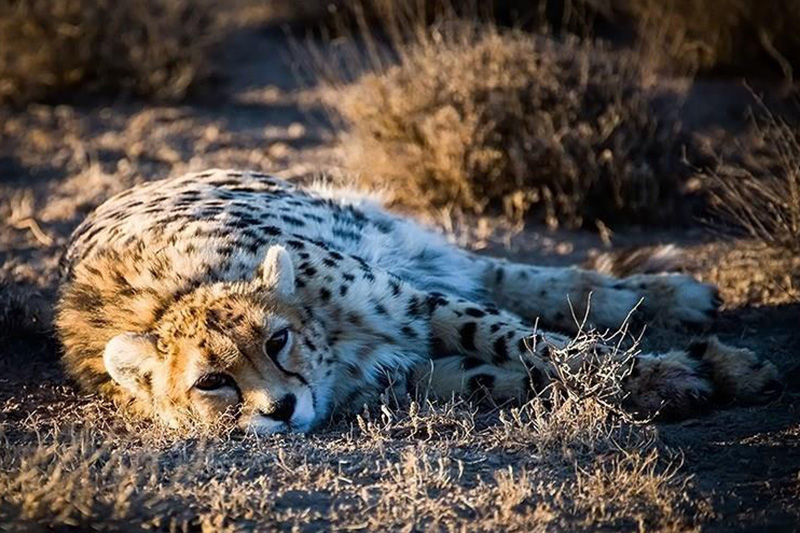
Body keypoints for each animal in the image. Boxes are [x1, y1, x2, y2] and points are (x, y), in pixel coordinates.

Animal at [57, 169, 780, 432]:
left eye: (276, 340)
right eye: (212, 382)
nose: (283, 408)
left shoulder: (412, 303)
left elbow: (533, 342)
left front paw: (662, 372)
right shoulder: (409, 374)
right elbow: (506, 374)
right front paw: (678, 375)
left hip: (398, 247)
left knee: (511, 279)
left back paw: (674, 296)